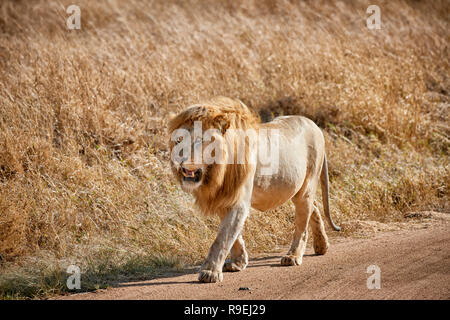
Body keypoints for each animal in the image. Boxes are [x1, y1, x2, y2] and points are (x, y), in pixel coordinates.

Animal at [169, 95, 342, 282]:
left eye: (199, 140)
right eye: (179, 140)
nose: (180, 161)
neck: (216, 172)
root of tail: (313, 124)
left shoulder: (238, 201)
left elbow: (221, 239)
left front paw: (210, 272)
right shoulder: (224, 198)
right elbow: (233, 236)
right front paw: (238, 262)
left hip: (306, 186)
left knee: (303, 223)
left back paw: (293, 256)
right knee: (314, 207)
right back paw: (321, 246)